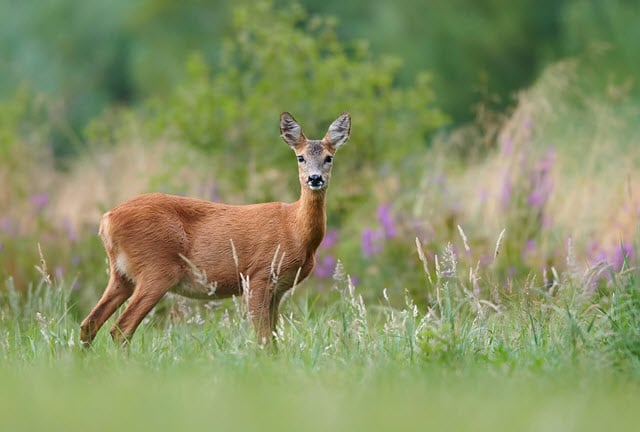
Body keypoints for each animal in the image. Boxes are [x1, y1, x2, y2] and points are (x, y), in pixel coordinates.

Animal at [80, 112, 352, 348]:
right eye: (300, 157)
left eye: (329, 157)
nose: (314, 179)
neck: (295, 230)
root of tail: (106, 220)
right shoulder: (259, 275)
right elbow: (264, 340)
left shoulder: (278, 289)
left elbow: (273, 339)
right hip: (156, 268)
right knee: (120, 329)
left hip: (122, 275)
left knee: (89, 324)